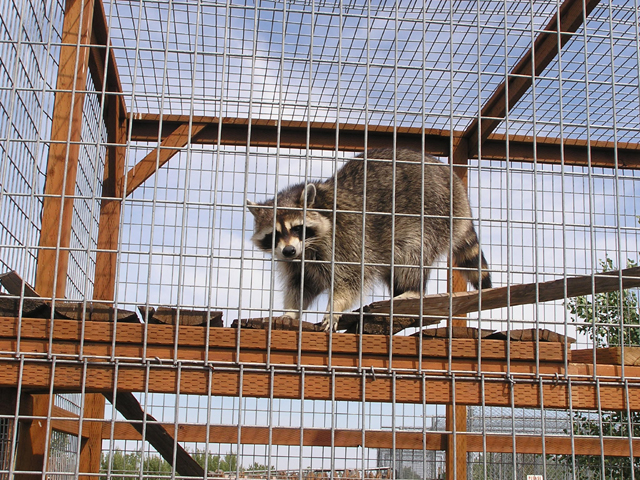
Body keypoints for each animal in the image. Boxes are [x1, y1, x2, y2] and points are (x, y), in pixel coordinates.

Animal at [247, 148, 491, 331]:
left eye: (297, 228)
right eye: (274, 234)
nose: (288, 251)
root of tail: (456, 185)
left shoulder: (346, 238)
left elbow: (350, 279)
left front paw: (334, 307)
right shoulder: (298, 262)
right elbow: (301, 284)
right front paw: (291, 311)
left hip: (433, 213)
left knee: (412, 253)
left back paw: (412, 290)